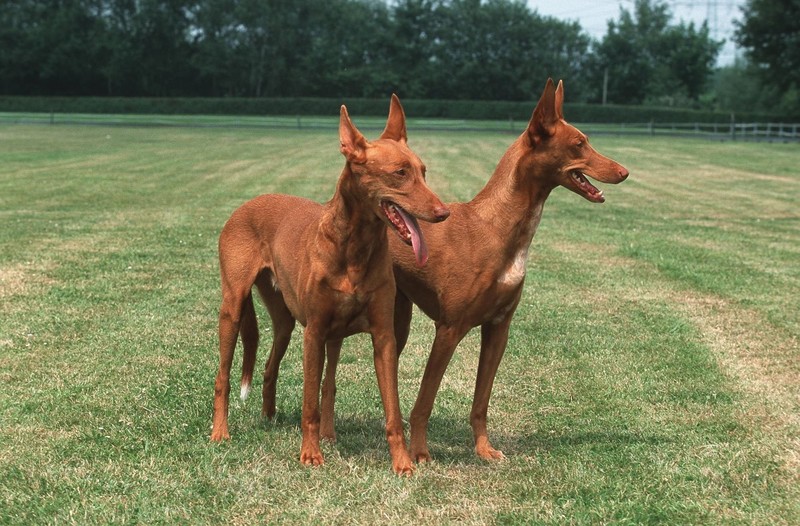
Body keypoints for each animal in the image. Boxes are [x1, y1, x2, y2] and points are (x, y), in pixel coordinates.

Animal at [211, 96, 450, 478]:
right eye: (400, 173)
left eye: (423, 171)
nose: (443, 213)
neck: (354, 248)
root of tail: (249, 202)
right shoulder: (315, 332)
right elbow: (309, 402)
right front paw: (310, 454)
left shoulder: (383, 336)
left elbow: (391, 409)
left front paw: (402, 462)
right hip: (233, 307)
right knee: (223, 376)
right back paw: (221, 432)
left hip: (286, 323)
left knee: (273, 367)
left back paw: (271, 419)